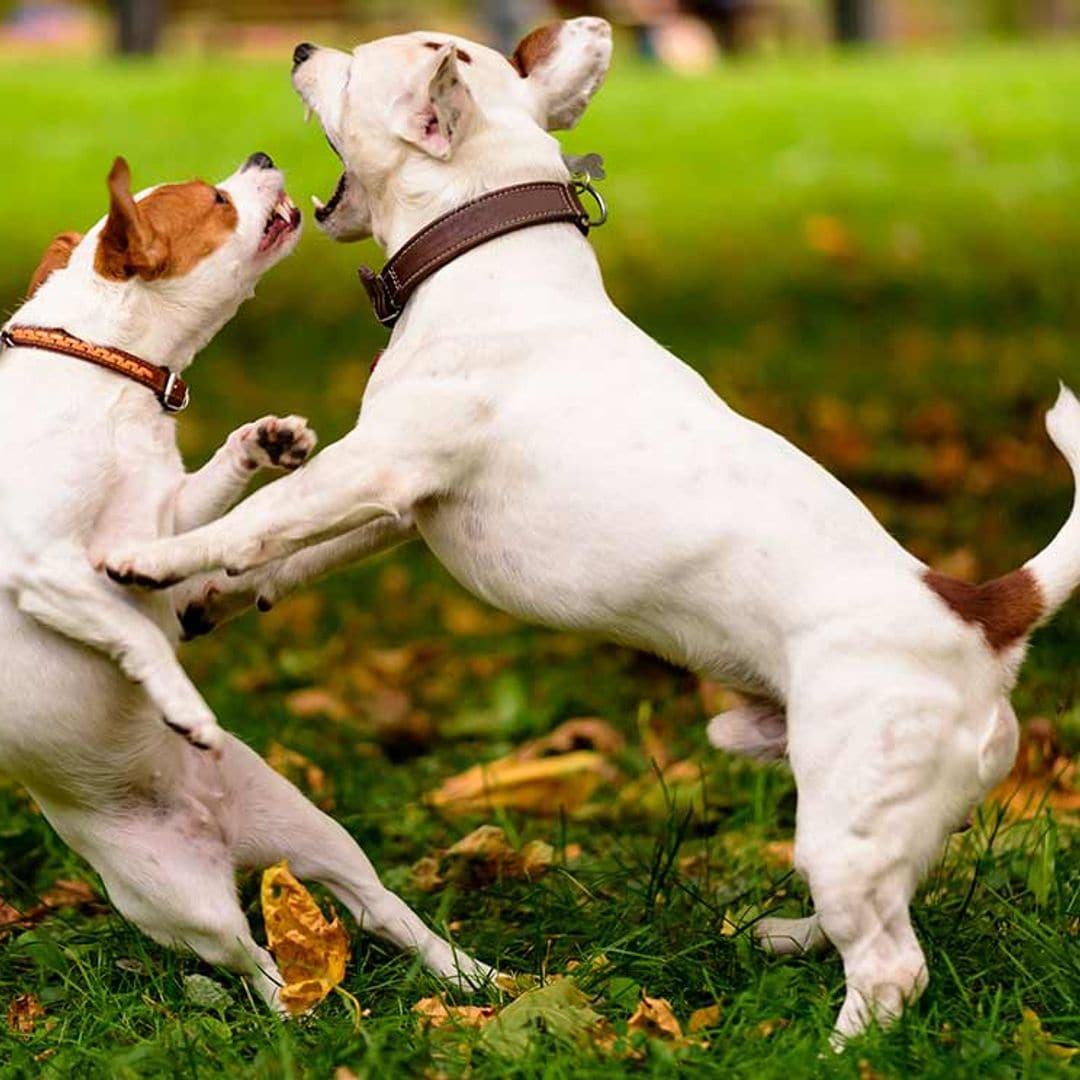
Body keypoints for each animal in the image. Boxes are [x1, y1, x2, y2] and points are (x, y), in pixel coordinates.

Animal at [0, 154, 490, 1010]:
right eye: (218, 200)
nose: (260, 159)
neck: (106, 381)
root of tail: (219, 834)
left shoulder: (156, 540)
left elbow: (198, 518)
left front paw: (265, 442)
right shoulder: (42, 563)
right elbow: (134, 637)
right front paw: (186, 709)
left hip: (309, 829)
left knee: (379, 908)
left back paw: (470, 976)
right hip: (181, 903)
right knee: (256, 965)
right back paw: (301, 1011)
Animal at [105, 23, 1080, 1036]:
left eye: (354, 64)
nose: (298, 45)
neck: (488, 249)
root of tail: (985, 612)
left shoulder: (378, 467)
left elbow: (260, 519)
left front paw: (151, 558)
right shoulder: (402, 506)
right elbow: (293, 556)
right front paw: (205, 598)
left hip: (853, 803)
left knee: (893, 966)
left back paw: (838, 1044)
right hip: (868, 810)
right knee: (888, 899)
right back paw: (788, 935)